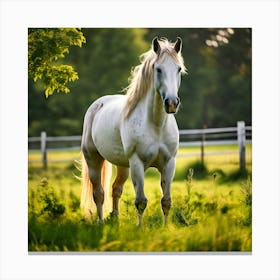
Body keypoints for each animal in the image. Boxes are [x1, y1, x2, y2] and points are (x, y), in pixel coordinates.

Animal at [80, 37, 186, 225]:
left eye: (178, 68)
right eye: (158, 69)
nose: (172, 103)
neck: (156, 125)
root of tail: (97, 105)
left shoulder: (169, 163)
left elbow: (166, 201)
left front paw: (166, 228)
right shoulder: (137, 163)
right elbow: (141, 201)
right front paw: (139, 228)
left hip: (123, 165)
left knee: (116, 189)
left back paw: (115, 220)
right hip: (93, 160)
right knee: (98, 194)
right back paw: (101, 223)